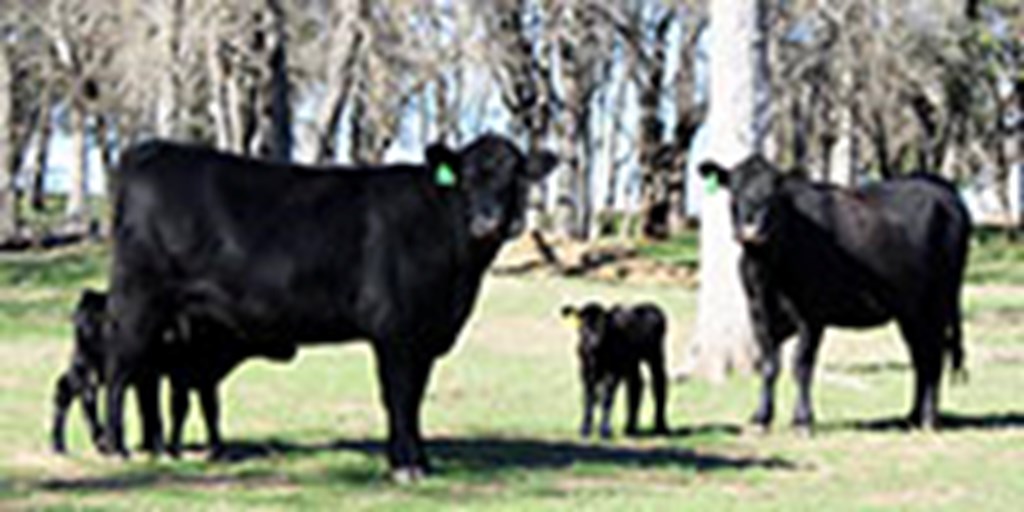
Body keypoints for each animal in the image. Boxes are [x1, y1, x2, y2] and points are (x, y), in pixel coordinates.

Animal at [99, 133, 557, 479]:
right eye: (466, 178)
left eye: (513, 176)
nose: (488, 222)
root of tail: (149, 150)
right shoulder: (395, 331)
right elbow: (399, 396)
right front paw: (404, 466)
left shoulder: (425, 336)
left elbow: (415, 399)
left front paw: (421, 462)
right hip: (137, 302)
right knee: (119, 369)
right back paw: (114, 446)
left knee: (141, 377)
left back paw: (153, 447)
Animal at [561, 301, 671, 438]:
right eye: (583, 324)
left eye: (602, 324)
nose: (594, 342)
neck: (596, 354)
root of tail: (649, 305)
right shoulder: (585, 371)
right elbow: (589, 398)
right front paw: (585, 429)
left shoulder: (613, 371)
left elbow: (607, 399)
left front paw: (605, 430)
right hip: (632, 362)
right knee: (636, 385)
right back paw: (630, 428)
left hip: (655, 355)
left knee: (659, 383)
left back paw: (661, 427)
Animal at [700, 155, 970, 432]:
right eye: (734, 191)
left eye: (774, 195)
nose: (752, 230)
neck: (766, 270)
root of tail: (939, 186)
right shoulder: (758, 314)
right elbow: (769, 365)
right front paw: (760, 418)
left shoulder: (811, 315)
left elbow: (801, 364)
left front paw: (802, 420)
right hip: (910, 311)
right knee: (920, 355)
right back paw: (912, 416)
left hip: (937, 301)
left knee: (934, 354)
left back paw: (928, 418)